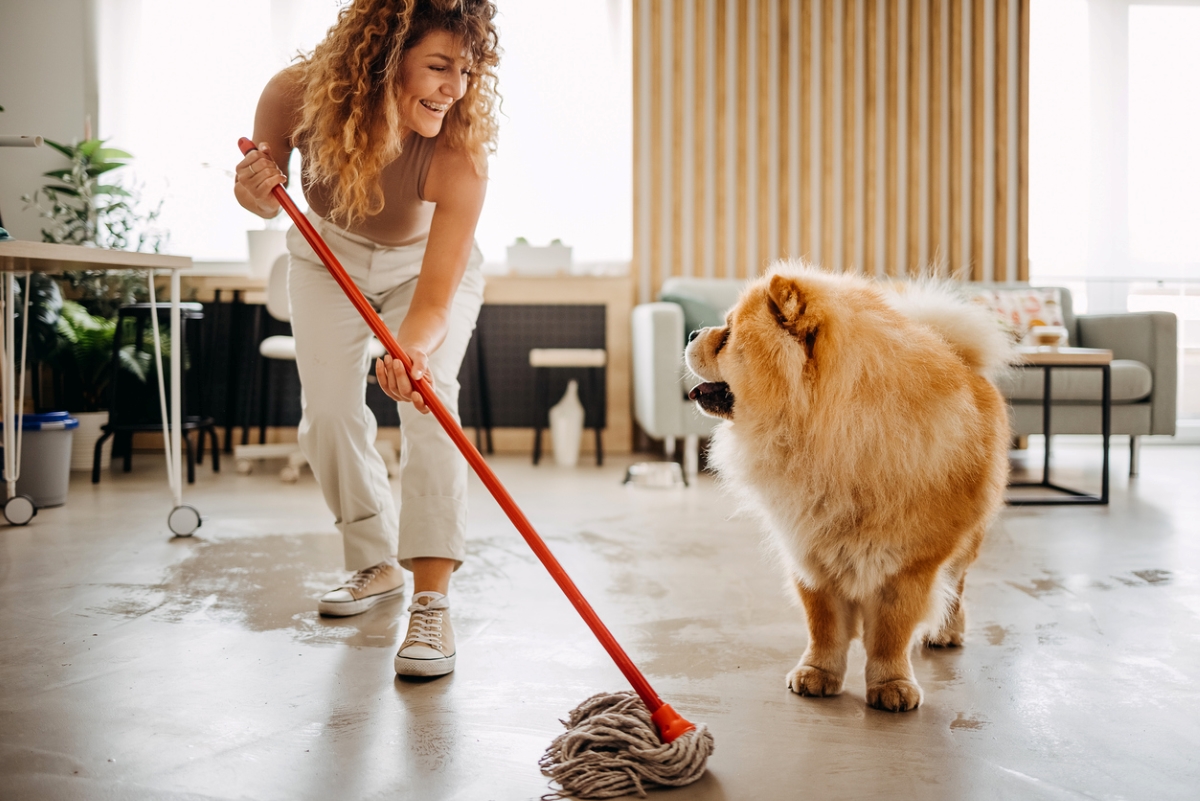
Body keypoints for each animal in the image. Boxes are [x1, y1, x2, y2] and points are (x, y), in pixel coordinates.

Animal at [686, 263, 1012, 714]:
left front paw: (892, 685)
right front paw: (817, 674)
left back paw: (945, 632)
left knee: (955, 586)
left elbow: (891, 632)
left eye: (728, 335)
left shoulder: (908, 566)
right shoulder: (811, 553)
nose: (691, 333)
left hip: (966, 542)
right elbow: (824, 625)